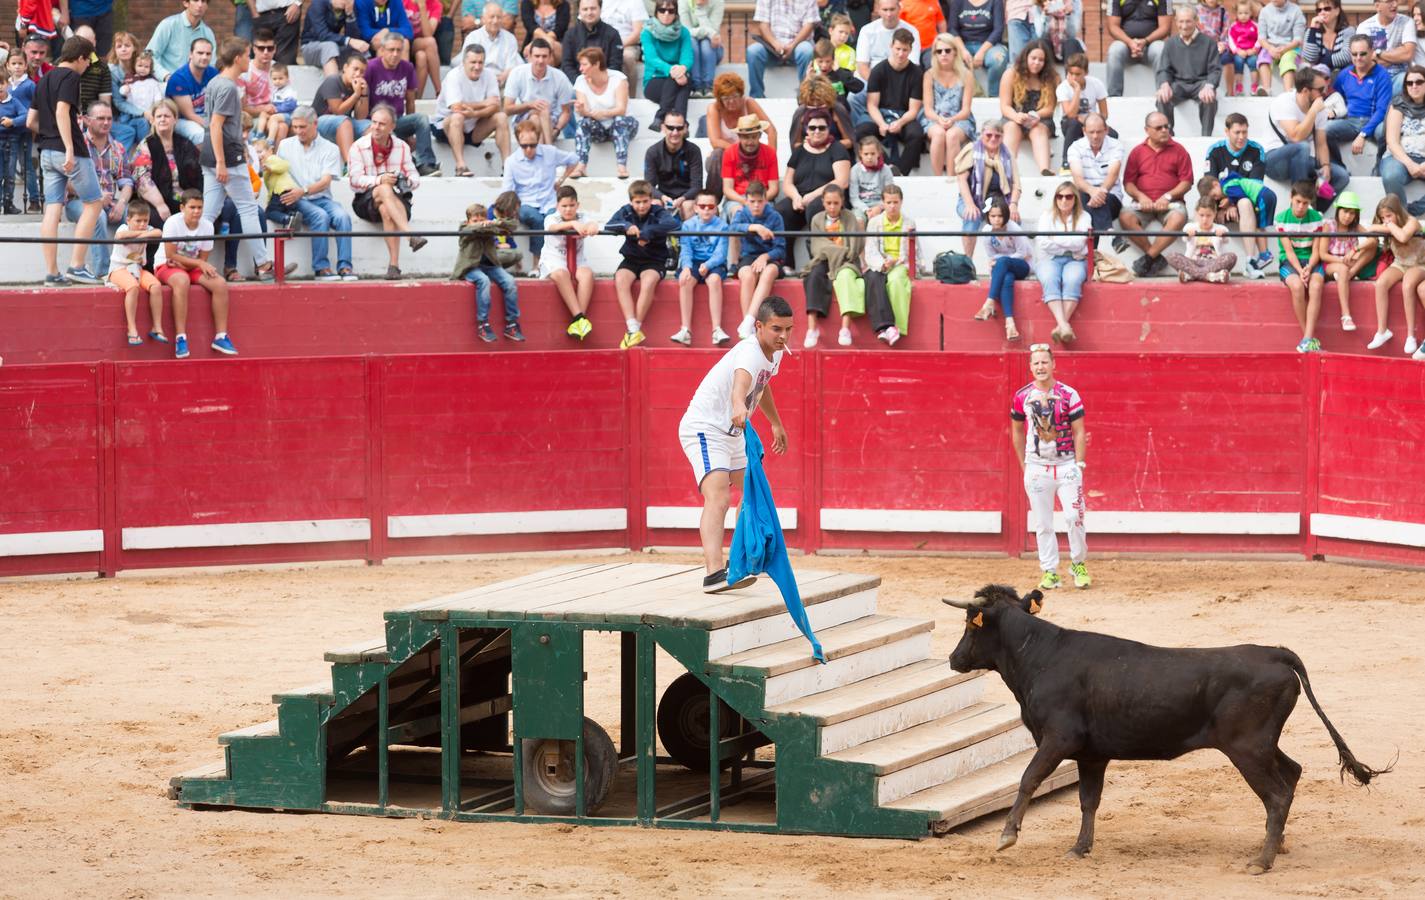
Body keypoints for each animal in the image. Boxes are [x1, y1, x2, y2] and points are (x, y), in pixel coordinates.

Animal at [946, 583, 1390, 871]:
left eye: (970, 624)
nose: (953, 659)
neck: (1040, 655)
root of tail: (1274, 653)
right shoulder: (1092, 754)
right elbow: (1089, 800)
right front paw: (1080, 848)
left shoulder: (1057, 739)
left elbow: (1028, 779)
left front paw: (1007, 836)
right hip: (1262, 744)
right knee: (1292, 773)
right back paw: (1276, 845)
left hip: (1247, 748)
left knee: (1277, 795)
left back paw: (1261, 861)